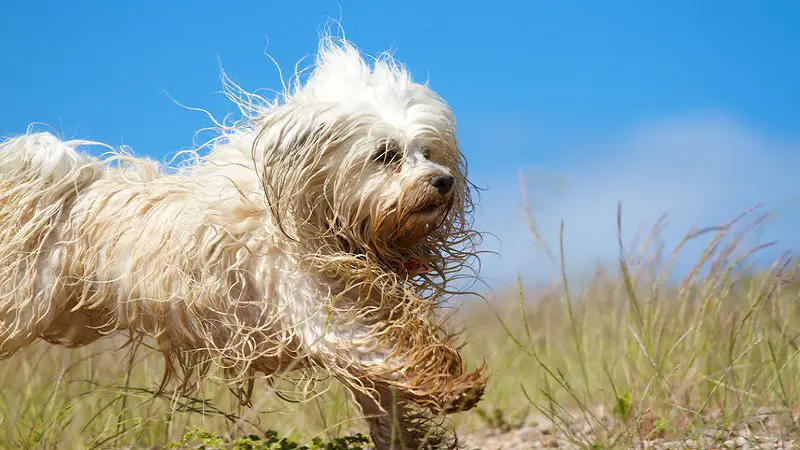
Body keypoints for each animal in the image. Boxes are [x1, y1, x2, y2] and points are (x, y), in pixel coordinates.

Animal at [0, 35, 484, 450]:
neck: (326, 220)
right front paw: (454, 386)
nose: (442, 180)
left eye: (429, 152)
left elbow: (386, 394)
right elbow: (384, 353)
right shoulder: (316, 310)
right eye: (386, 155)